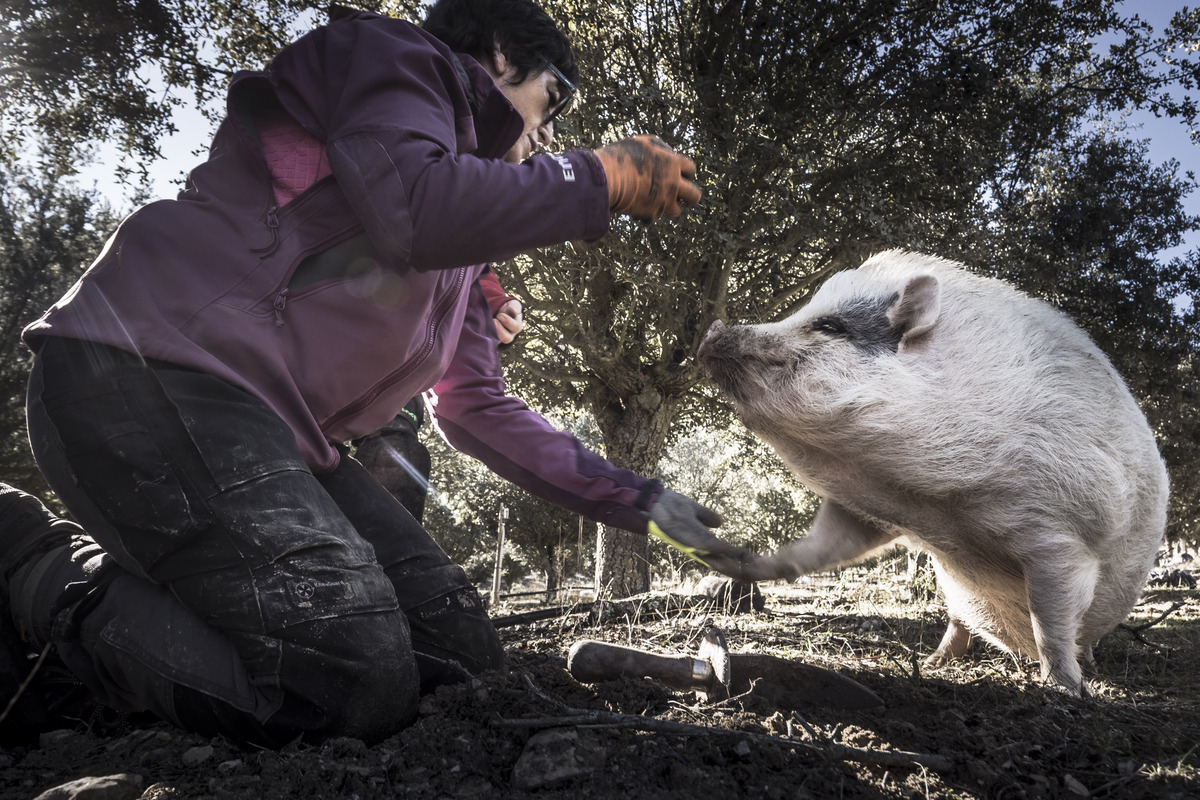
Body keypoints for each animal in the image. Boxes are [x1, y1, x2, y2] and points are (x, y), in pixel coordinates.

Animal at [700, 250, 1166, 695]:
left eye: (830, 326)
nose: (713, 328)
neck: (936, 501)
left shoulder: (1063, 533)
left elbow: (1049, 621)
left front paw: (1067, 691)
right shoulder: (869, 509)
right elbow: (819, 548)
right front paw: (735, 561)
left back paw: (1087, 669)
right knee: (959, 620)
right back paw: (932, 663)